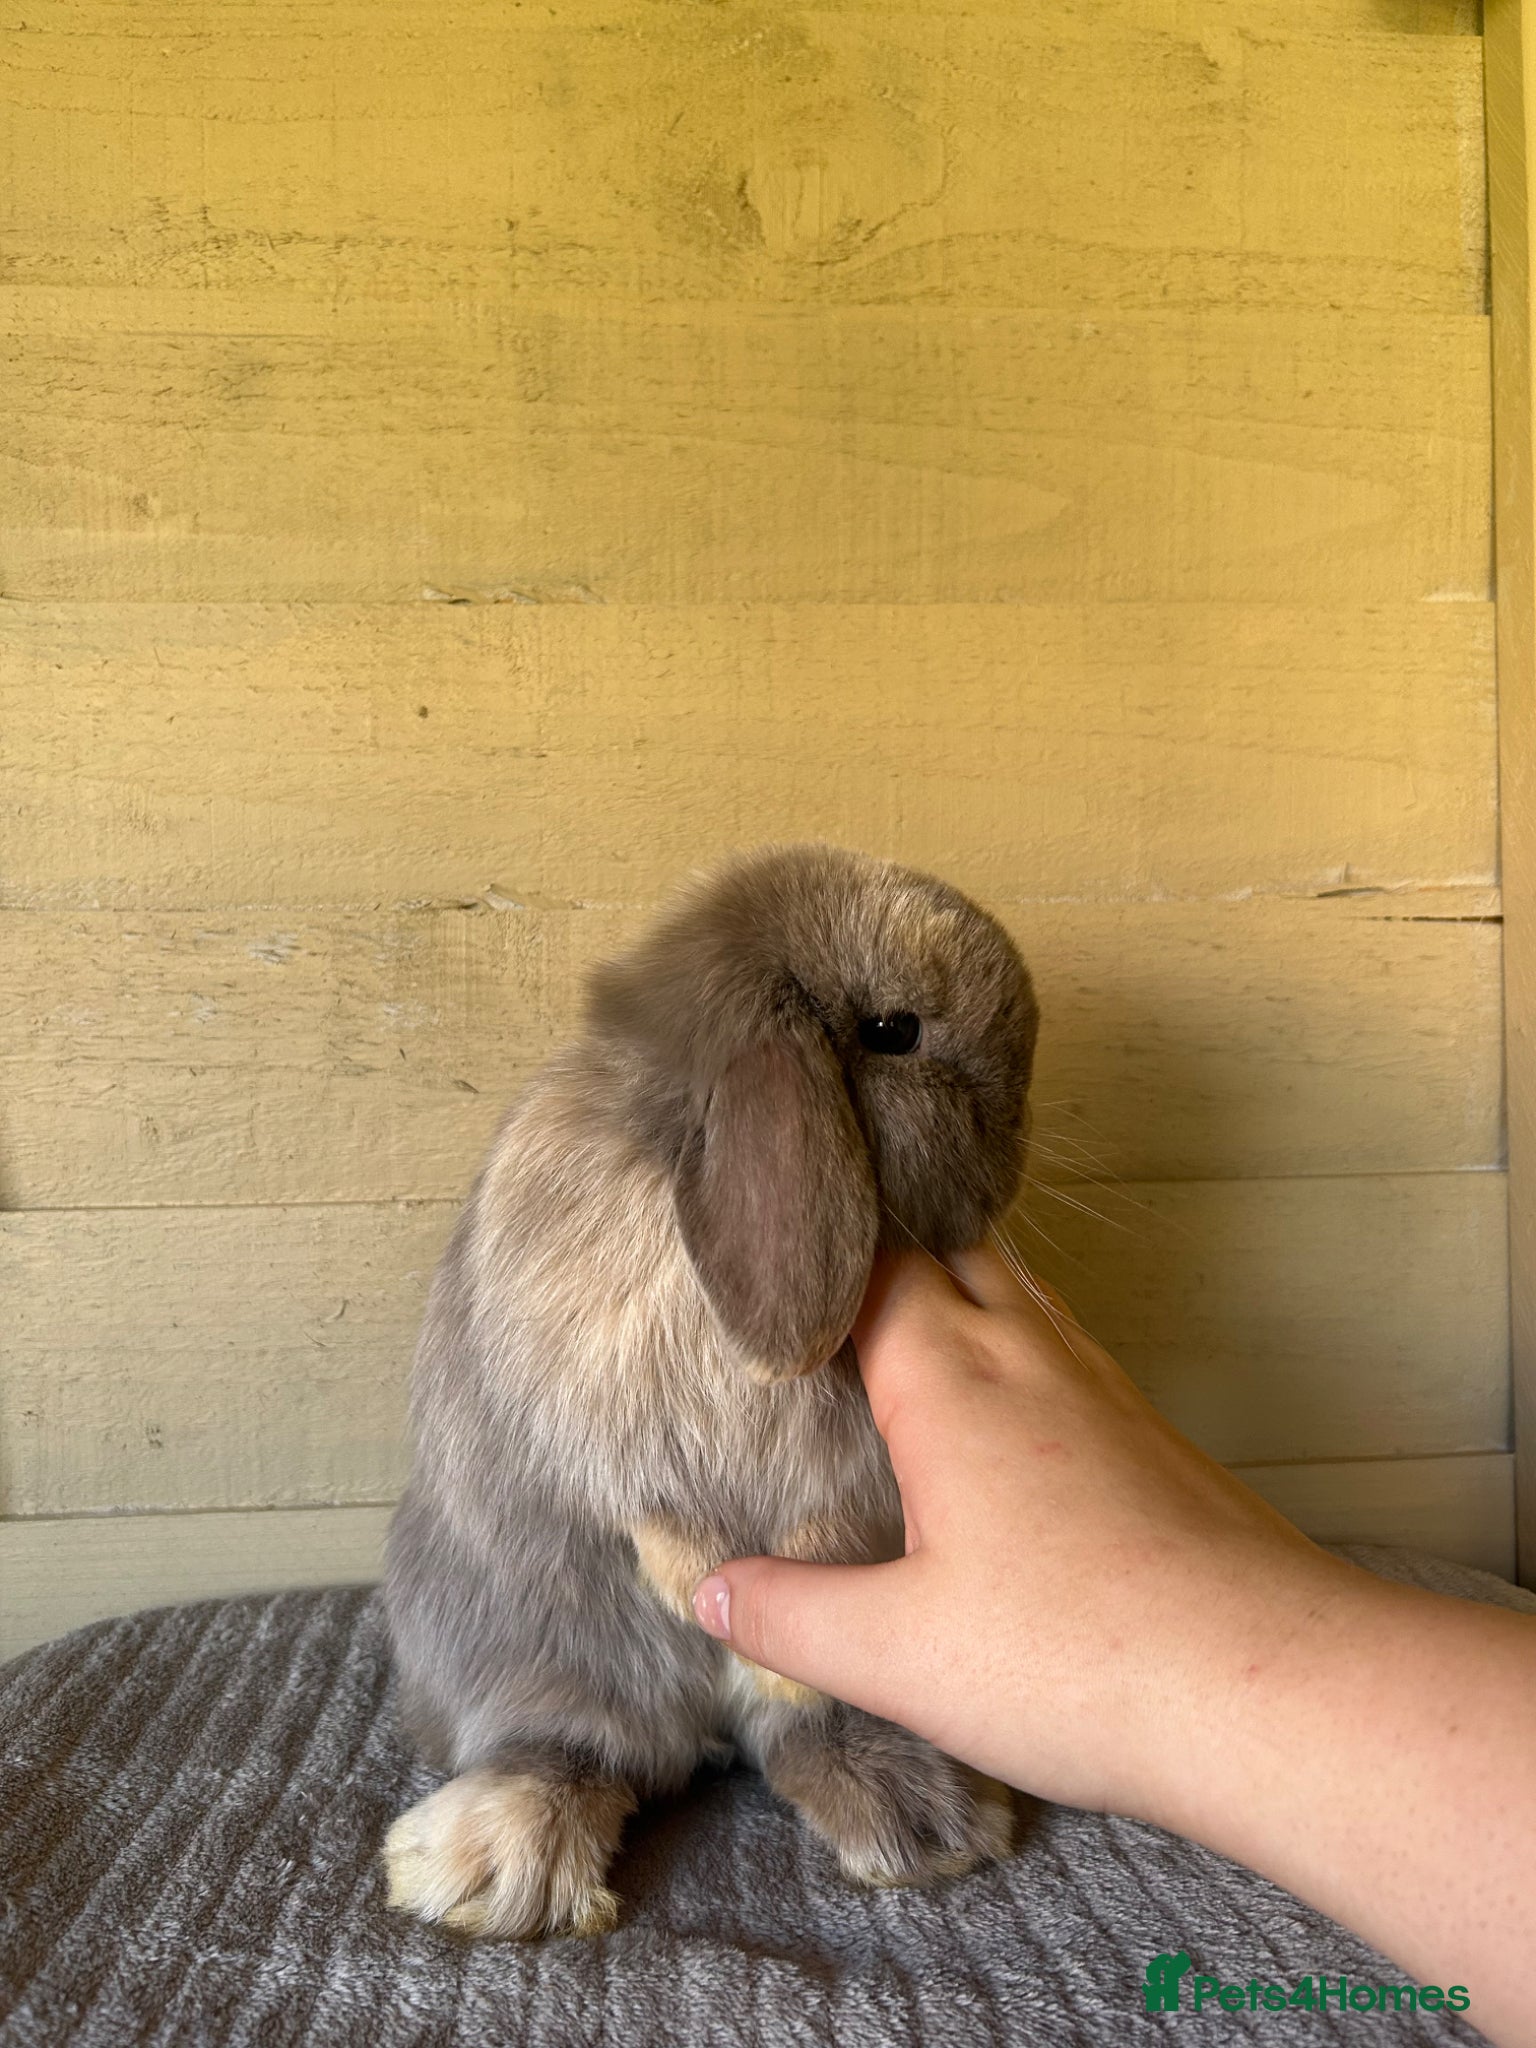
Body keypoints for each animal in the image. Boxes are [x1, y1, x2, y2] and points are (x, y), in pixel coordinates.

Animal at [381, 842, 1040, 1938]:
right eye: (893, 1032)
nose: (1006, 1171)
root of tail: (706, 1731)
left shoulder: (859, 1476)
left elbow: (822, 1531)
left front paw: (770, 1651)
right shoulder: (584, 1404)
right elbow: (646, 1510)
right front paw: (718, 1608)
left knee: (802, 1734)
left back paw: (923, 1817)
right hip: (515, 1647)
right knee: (578, 1748)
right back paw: (493, 1860)